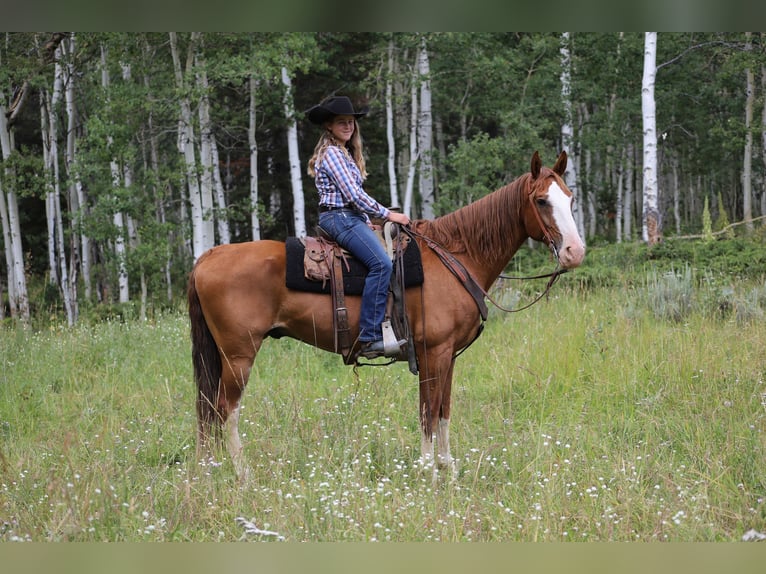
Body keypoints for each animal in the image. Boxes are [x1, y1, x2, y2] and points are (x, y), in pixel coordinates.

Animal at [188, 151, 588, 480]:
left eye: (570, 198)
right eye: (541, 200)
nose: (574, 252)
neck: (456, 256)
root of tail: (208, 257)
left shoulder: (448, 356)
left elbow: (444, 410)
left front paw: (447, 469)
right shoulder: (433, 353)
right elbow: (428, 412)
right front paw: (428, 473)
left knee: (210, 410)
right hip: (239, 355)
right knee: (225, 409)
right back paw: (242, 474)